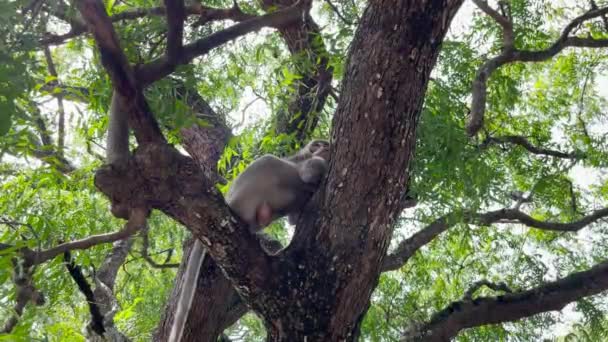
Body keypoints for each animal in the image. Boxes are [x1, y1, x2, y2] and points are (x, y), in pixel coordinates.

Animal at [169, 140, 330, 342]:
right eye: (323, 145)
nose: (326, 146)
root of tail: (228, 202)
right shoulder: (303, 162)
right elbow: (309, 170)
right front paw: (319, 168)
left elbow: (294, 217)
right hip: (244, 194)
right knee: (269, 161)